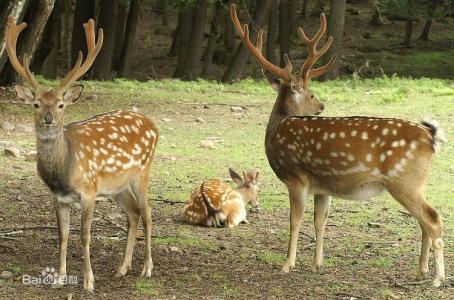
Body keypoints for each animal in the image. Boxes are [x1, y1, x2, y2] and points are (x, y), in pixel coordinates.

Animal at [3, 15, 158, 290]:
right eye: (36, 104)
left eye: (61, 105)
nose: (48, 118)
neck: (63, 172)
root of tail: (153, 125)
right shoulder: (59, 197)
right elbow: (63, 235)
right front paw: (59, 279)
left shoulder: (89, 191)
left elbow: (85, 235)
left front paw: (88, 282)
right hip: (117, 187)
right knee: (133, 214)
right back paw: (122, 269)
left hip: (142, 173)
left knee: (149, 213)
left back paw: (147, 269)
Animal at [231, 4, 446, 286]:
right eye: (312, 94)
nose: (321, 105)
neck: (278, 126)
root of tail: (430, 136)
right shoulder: (322, 186)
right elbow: (319, 221)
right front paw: (317, 264)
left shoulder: (296, 176)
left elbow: (295, 220)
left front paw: (287, 265)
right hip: (415, 183)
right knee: (423, 221)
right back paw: (421, 271)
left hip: (404, 180)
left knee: (433, 219)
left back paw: (437, 278)